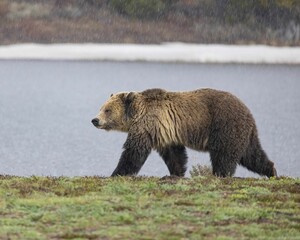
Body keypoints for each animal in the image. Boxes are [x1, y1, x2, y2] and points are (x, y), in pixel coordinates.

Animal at [91, 88, 276, 178]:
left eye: (107, 110)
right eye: (101, 107)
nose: (95, 120)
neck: (137, 114)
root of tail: (247, 110)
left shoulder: (147, 126)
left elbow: (133, 153)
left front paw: (116, 173)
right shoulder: (165, 131)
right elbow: (175, 155)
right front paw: (176, 173)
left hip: (224, 126)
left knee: (224, 155)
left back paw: (220, 174)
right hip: (244, 133)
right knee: (252, 155)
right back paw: (272, 171)